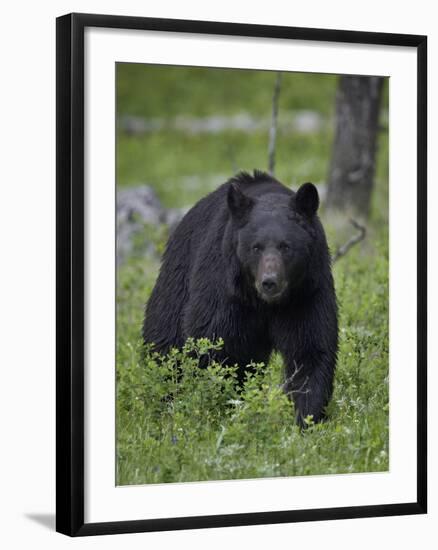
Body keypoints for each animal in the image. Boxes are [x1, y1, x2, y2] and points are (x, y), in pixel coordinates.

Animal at [144, 171, 338, 426]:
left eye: (286, 246)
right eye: (256, 247)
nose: (269, 281)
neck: (264, 303)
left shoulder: (306, 292)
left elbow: (310, 347)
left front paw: (306, 418)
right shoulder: (225, 291)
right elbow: (215, 345)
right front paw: (219, 405)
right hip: (177, 280)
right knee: (166, 343)